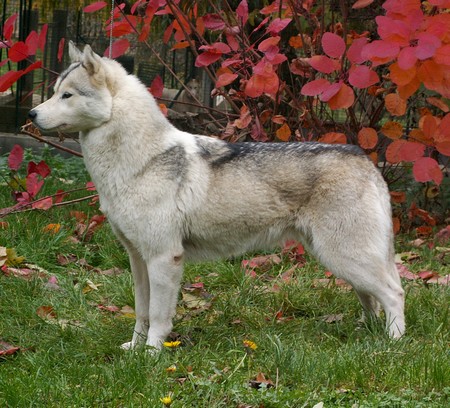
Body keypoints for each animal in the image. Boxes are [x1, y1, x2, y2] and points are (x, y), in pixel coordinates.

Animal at [29, 43, 406, 350]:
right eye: (54, 92)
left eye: (67, 96)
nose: (31, 114)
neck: (138, 161)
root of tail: (365, 160)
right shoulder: (137, 259)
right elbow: (141, 313)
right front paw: (133, 351)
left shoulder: (164, 258)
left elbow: (159, 318)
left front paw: (151, 357)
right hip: (340, 262)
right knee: (373, 298)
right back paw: (366, 332)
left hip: (345, 258)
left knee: (395, 293)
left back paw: (393, 343)